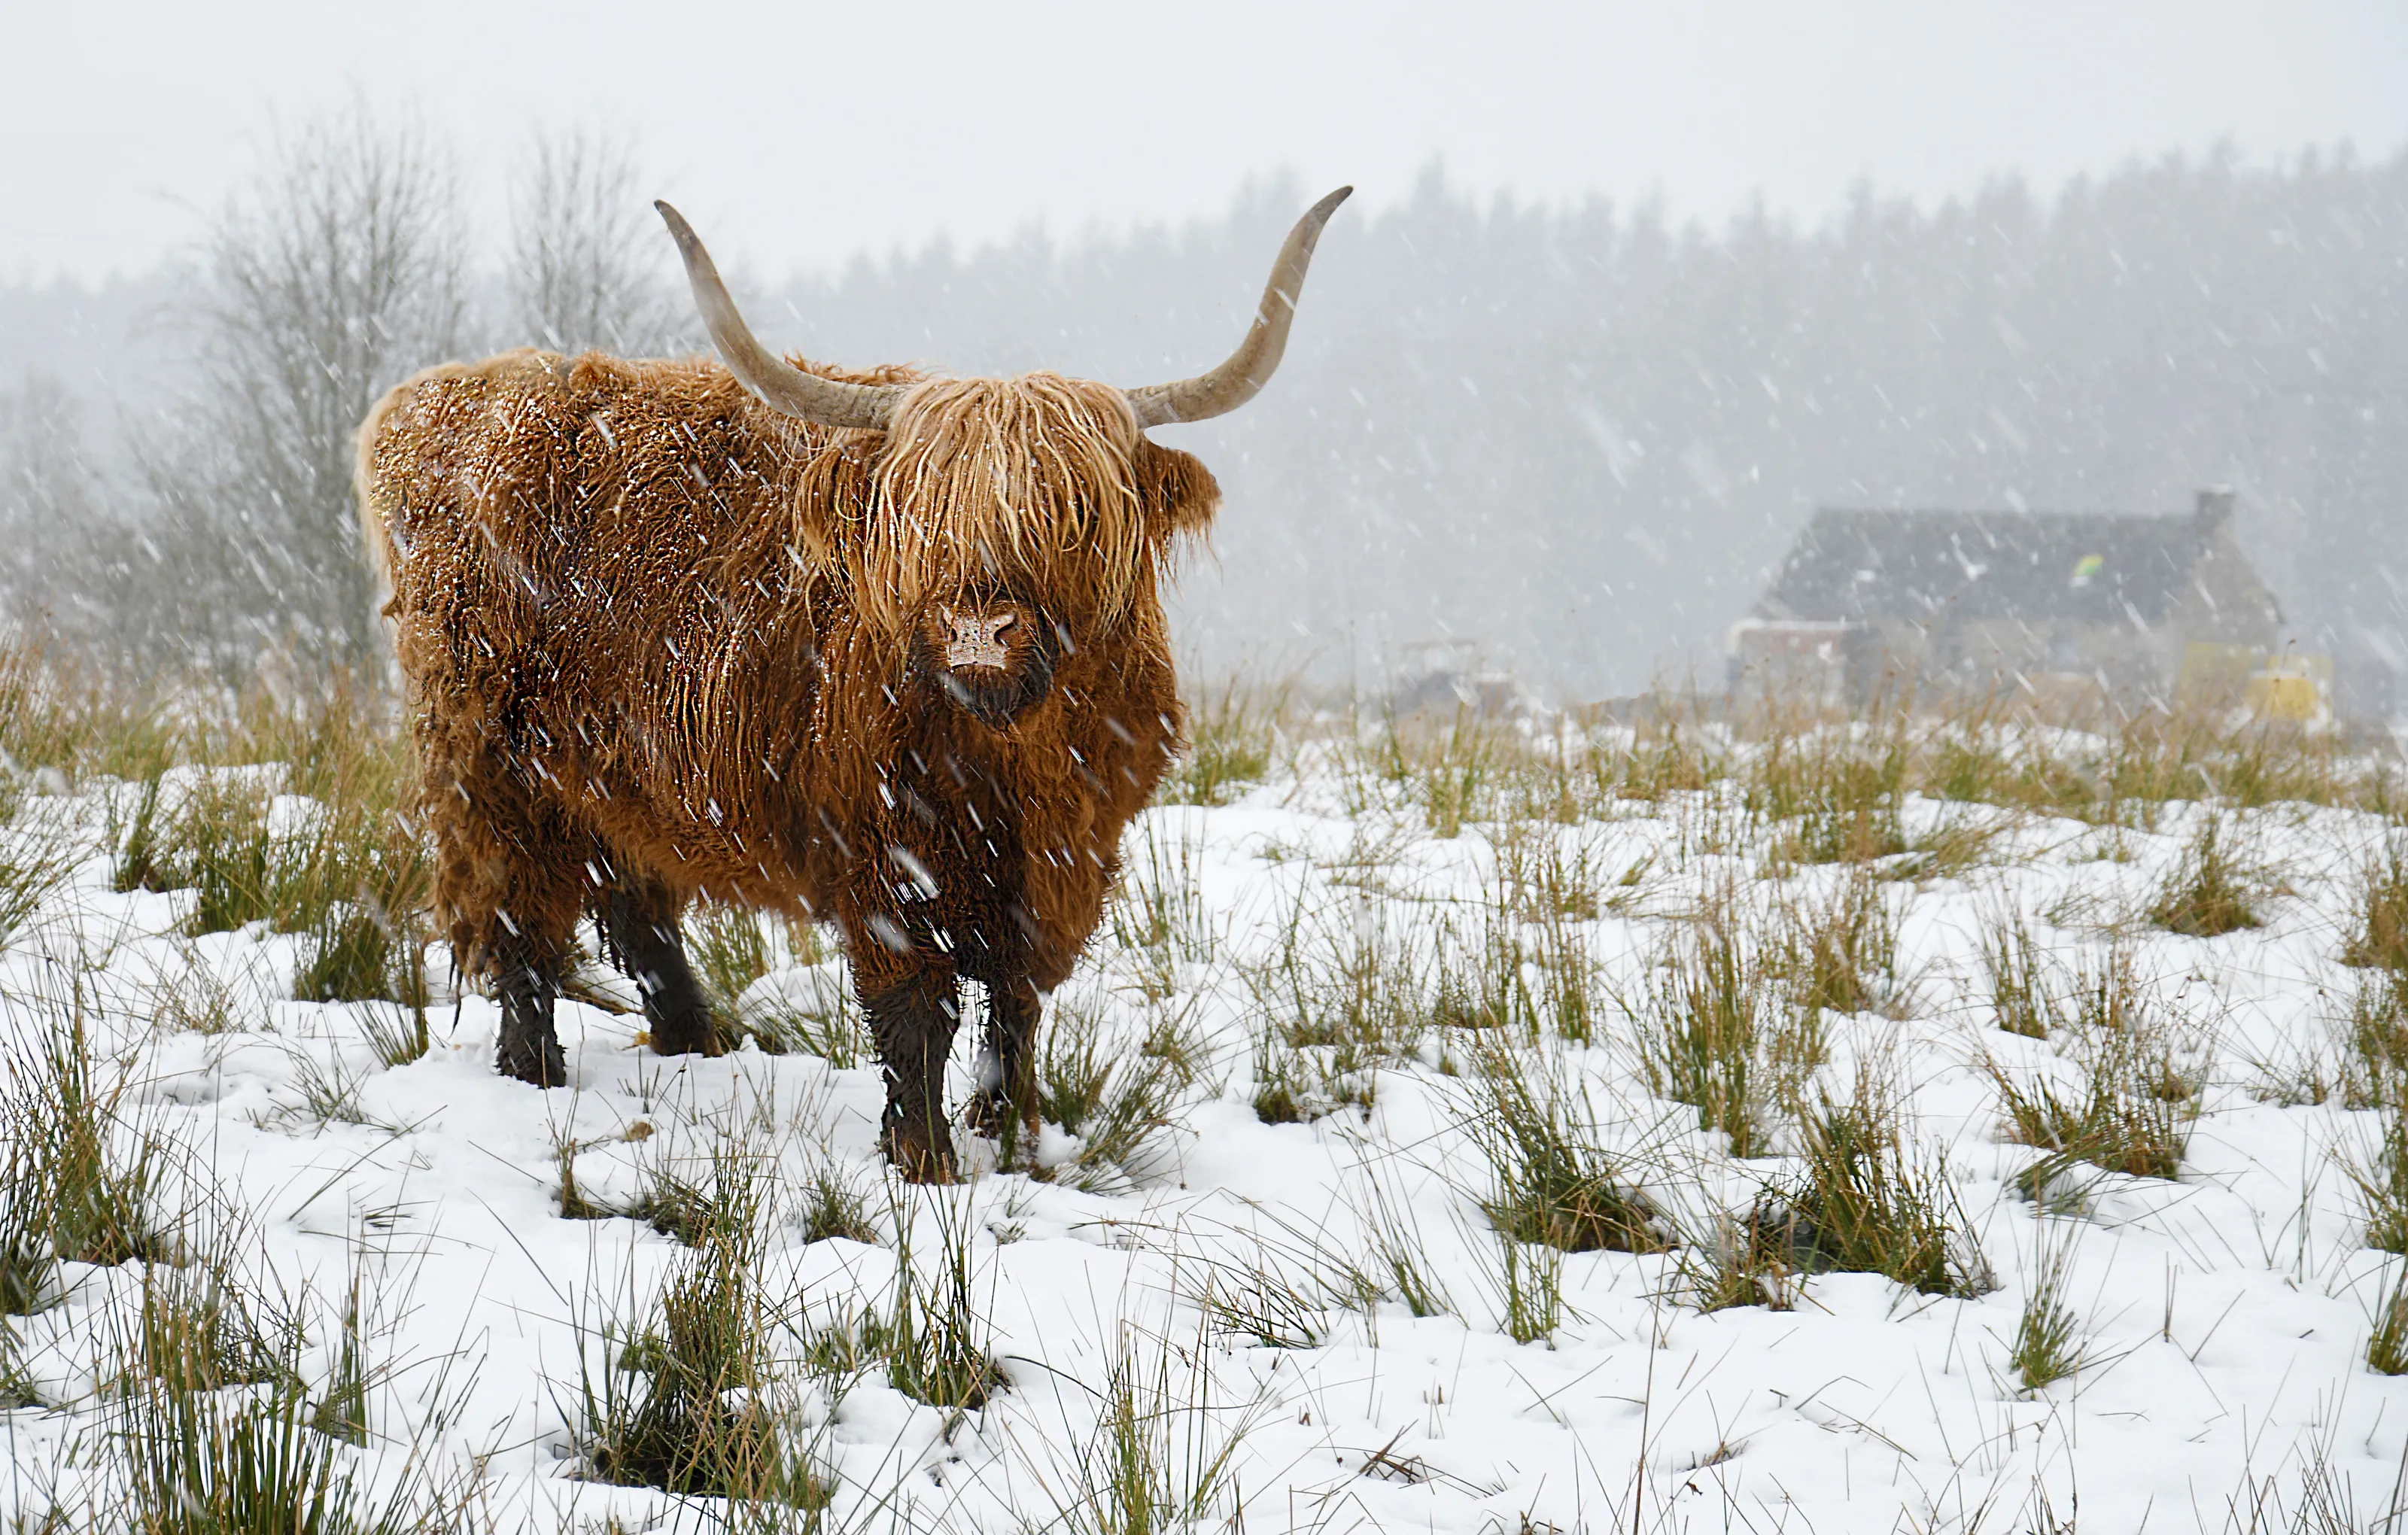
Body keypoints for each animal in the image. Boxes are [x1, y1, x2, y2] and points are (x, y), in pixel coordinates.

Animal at [355, 188, 1349, 1180]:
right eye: (919, 516)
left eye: (1069, 511)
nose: (979, 629)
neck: (1008, 758)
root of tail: (438, 394)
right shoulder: (880, 853)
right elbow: (916, 1012)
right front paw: (924, 1160)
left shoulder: (1071, 855)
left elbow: (1017, 1006)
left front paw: (1011, 1135)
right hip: (490, 763)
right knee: (522, 925)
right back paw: (536, 1074)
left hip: (612, 777)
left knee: (634, 909)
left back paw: (695, 1043)